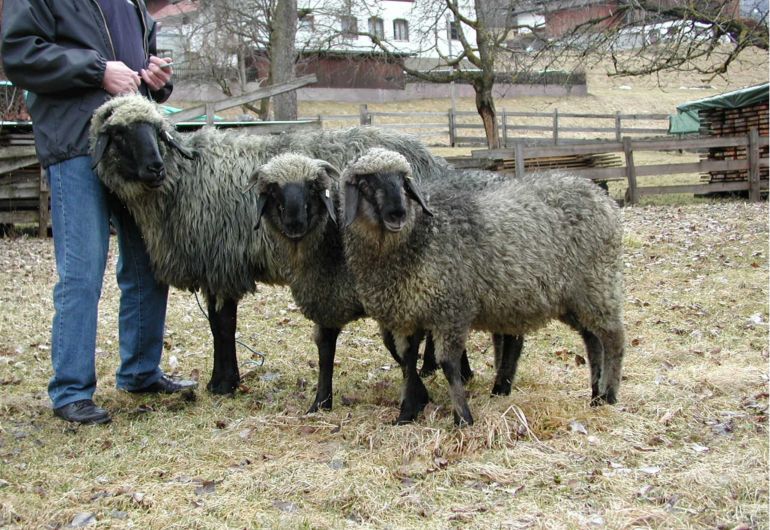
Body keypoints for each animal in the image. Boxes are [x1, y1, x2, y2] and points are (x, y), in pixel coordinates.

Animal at [86, 93, 450, 394]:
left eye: (155, 131)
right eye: (119, 134)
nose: (154, 167)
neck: (183, 179)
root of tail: (431, 158)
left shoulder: (224, 263)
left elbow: (223, 325)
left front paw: (224, 384)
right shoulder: (214, 266)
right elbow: (217, 325)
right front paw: (222, 380)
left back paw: (429, 365)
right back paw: (430, 365)